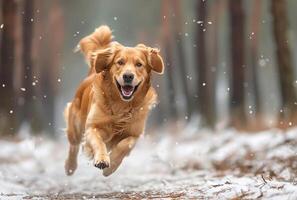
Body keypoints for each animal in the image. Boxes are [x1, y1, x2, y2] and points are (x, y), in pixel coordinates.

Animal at [64, 25, 164, 177]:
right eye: (120, 62)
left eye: (139, 64)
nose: (128, 76)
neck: (121, 106)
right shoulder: (92, 127)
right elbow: (99, 143)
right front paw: (102, 160)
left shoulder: (135, 133)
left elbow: (125, 145)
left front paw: (110, 167)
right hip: (75, 125)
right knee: (73, 145)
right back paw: (70, 167)